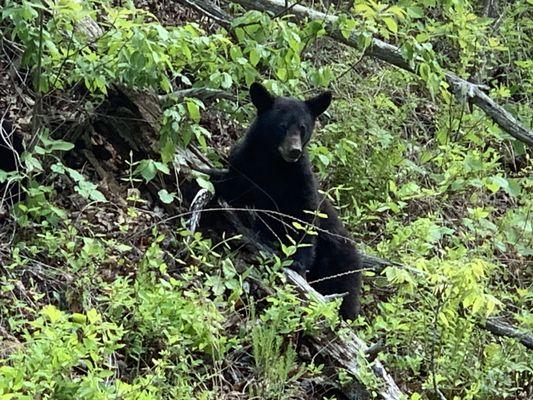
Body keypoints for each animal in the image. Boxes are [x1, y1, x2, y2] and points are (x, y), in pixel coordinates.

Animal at [208, 83, 362, 318]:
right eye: (282, 126)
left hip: (340, 261)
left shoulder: (301, 182)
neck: (274, 164)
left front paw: (297, 263)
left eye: (303, 127)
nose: (294, 150)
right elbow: (229, 187)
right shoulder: (243, 168)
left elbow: (305, 220)